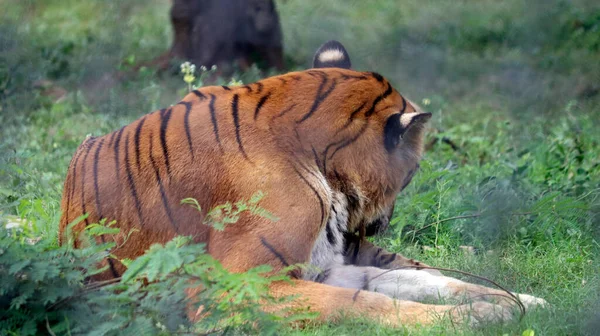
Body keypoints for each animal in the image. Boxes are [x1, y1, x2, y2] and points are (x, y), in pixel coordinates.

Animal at [58, 40, 548, 326]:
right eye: (411, 175)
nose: (382, 223)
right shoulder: (240, 285)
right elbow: (362, 304)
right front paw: (478, 317)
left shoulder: (324, 266)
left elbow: (418, 281)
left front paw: (514, 303)